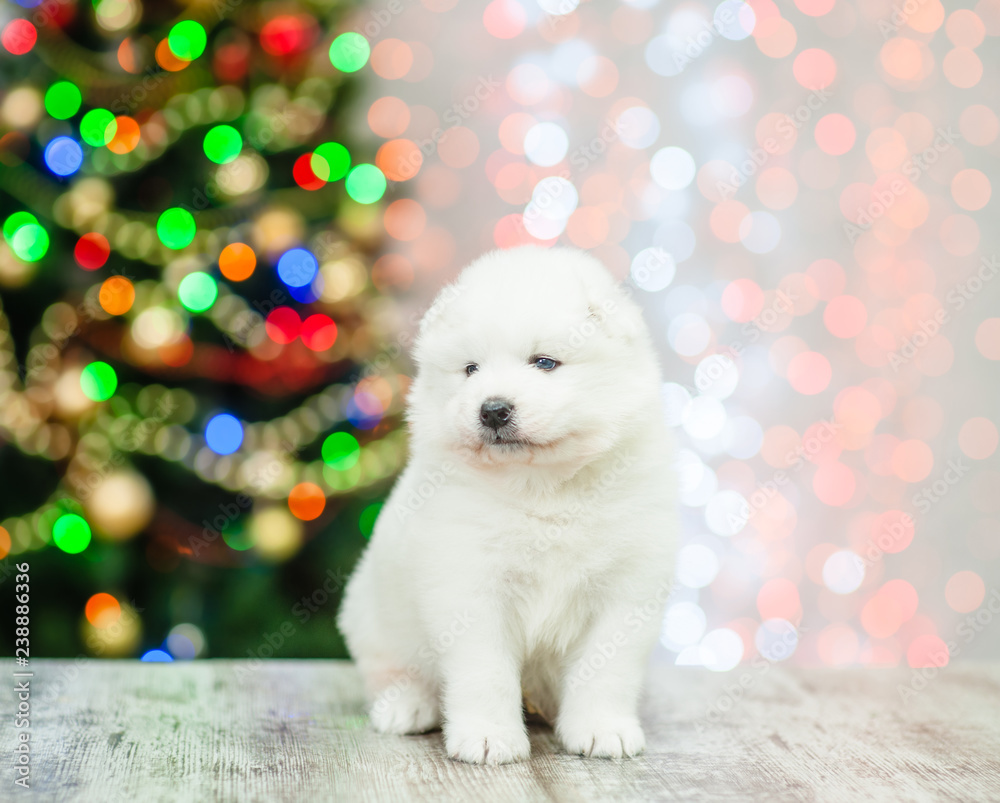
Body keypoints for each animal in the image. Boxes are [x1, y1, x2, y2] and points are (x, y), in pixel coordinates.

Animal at [338, 247, 680, 768]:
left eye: (545, 362)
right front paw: (488, 738)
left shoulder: (627, 587)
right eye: (470, 369)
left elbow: (604, 670)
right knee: (392, 672)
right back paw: (406, 707)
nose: (493, 409)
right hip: (374, 615)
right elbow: (485, 671)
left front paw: (601, 730)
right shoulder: (469, 585)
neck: (543, 486)